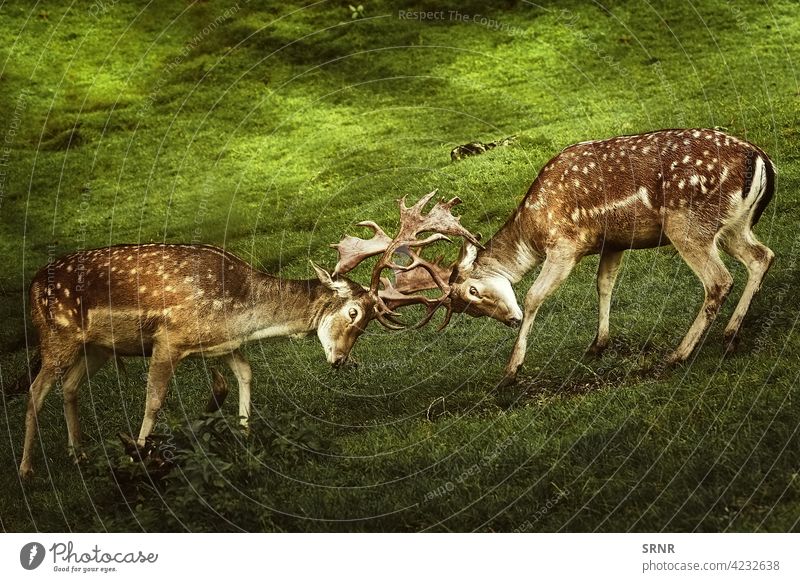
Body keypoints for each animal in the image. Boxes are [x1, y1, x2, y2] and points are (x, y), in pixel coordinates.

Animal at [20, 192, 482, 480]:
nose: (339, 360)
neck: (241, 310)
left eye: (368, 324)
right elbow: (154, 400)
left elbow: (245, 375)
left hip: (95, 347)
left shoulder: (224, 345)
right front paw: (140, 454)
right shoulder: (169, 339)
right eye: (353, 312)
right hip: (56, 334)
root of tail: (33, 283)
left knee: (69, 386)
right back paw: (26, 469)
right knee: (36, 389)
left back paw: (78, 454)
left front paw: (243, 436)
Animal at [352, 130, 776, 390]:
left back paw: (679, 354)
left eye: (472, 292)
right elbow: (604, 284)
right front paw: (598, 345)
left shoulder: (565, 245)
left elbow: (535, 297)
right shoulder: (613, 242)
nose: (509, 320)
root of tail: (762, 161)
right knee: (762, 256)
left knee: (719, 279)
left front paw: (510, 371)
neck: (534, 227)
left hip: (688, 222)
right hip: (734, 225)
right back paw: (730, 334)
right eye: (470, 307)